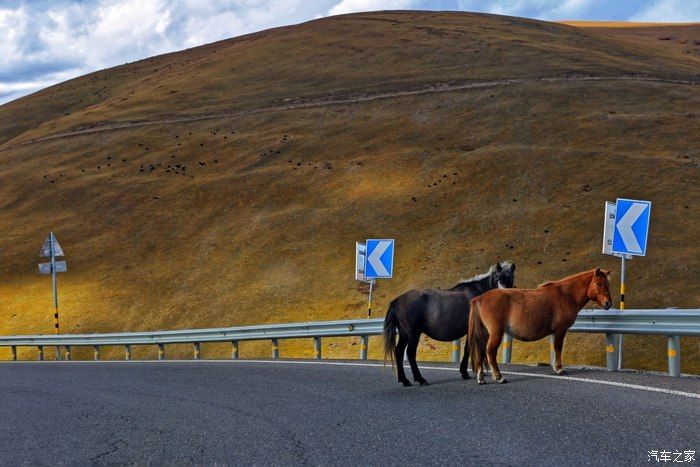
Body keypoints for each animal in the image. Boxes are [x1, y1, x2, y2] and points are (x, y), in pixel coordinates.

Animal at [382, 264, 516, 388]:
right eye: (498, 277)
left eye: (511, 278)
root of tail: (396, 301)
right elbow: (469, 349)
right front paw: (466, 373)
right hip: (413, 333)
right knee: (410, 353)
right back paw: (420, 379)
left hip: (404, 333)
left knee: (398, 351)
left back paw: (405, 380)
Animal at [470, 268, 612, 386]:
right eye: (598, 283)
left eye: (608, 284)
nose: (608, 303)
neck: (566, 295)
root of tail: (479, 298)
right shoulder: (560, 331)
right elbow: (558, 348)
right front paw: (559, 369)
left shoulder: (555, 332)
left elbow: (554, 349)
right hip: (496, 333)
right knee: (490, 351)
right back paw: (499, 377)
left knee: (481, 351)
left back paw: (481, 378)